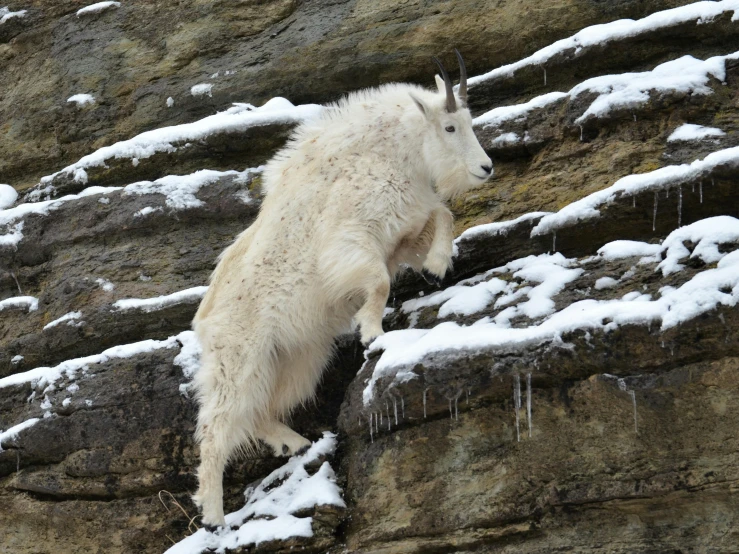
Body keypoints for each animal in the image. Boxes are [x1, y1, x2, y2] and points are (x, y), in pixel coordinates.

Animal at [191, 51, 494, 528]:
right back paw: (215, 515)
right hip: (240, 360)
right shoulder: (351, 242)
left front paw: (436, 267)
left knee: (260, 411)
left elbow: (441, 216)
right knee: (217, 429)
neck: (390, 153)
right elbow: (380, 281)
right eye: (450, 127)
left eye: (468, 121)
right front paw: (372, 332)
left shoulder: (402, 228)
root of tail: (203, 321)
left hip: (296, 357)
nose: (486, 168)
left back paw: (294, 443)